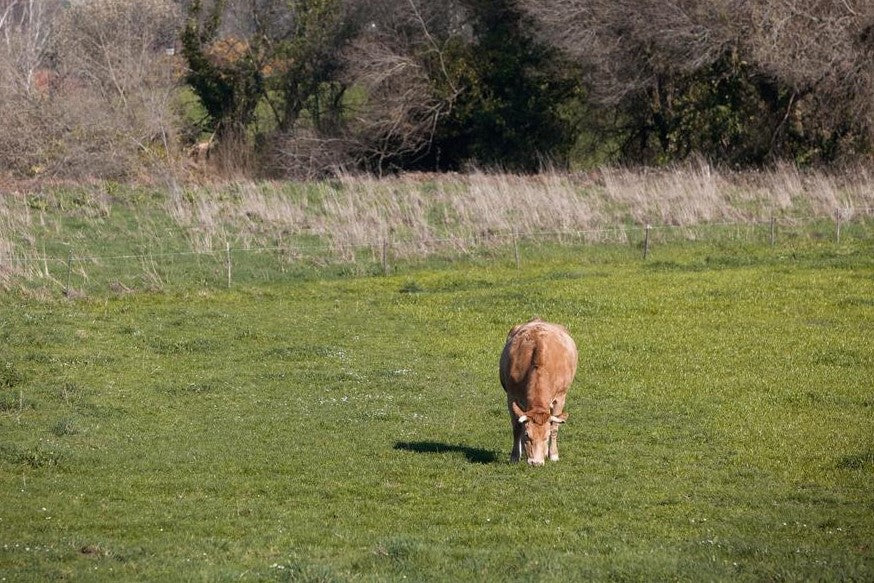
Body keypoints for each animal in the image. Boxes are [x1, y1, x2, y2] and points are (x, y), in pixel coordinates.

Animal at [500, 320, 576, 466]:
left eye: (546, 436)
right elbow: (516, 427)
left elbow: (555, 426)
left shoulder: (560, 397)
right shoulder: (511, 396)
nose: (536, 462)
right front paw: (515, 456)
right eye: (527, 435)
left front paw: (553, 454)